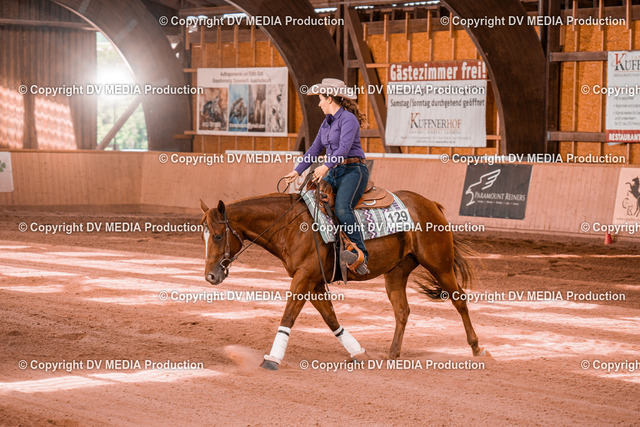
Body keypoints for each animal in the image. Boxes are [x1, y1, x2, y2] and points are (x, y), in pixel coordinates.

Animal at [199, 191, 485, 370]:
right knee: (402, 311)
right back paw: (393, 354)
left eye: (217, 236)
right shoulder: (313, 283)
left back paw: (476, 347)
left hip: (440, 265)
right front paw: (358, 352)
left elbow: (288, 316)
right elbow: (331, 319)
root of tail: (431, 204)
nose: (210, 276)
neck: (291, 226)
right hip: (396, 273)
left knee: (460, 300)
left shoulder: (304, 279)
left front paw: (272, 359)